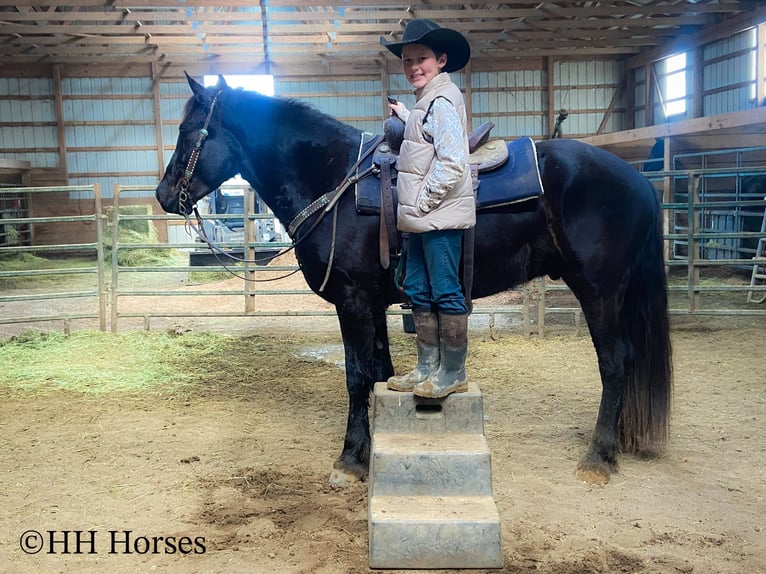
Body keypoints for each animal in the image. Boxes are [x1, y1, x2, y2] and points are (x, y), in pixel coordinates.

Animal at [156, 75, 672, 486]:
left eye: (187, 132)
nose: (163, 195)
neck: (334, 182)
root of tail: (639, 182)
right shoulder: (374, 303)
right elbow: (379, 373)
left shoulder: (353, 302)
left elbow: (356, 376)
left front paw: (350, 458)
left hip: (599, 292)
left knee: (615, 364)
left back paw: (600, 455)